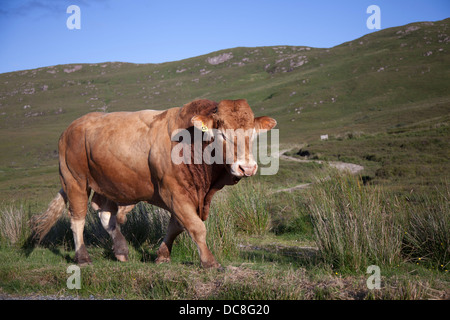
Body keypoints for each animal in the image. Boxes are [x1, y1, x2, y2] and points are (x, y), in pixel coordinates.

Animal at [32, 98, 274, 268]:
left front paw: (162, 255)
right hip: (75, 180)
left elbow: (177, 226)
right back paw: (82, 257)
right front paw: (209, 261)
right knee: (78, 218)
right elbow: (196, 227)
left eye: (254, 134)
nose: (247, 168)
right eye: (222, 134)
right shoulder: (173, 192)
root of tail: (71, 127)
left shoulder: (187, 195)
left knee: (105, 213)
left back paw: (121, 250)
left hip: (108, 182)